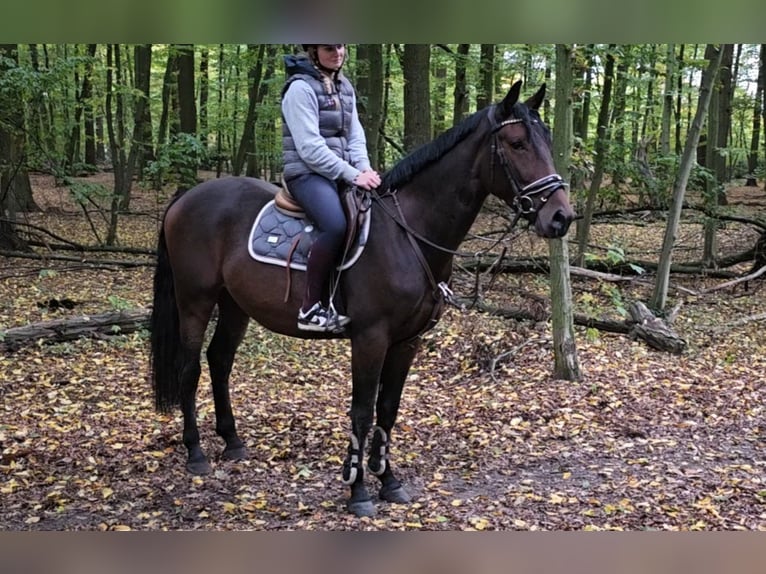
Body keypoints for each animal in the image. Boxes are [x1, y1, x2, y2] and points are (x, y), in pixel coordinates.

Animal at [149, 80, 575, 518]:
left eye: (546, 140)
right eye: (517, 143)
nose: (561, 217)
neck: (408, 232)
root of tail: (186, 197)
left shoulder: (407, 341)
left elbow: (388, 409)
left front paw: (389, 481)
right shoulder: (370, 338)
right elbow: (362, 410)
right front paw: (358, 491)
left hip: (236, 304)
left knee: (219, 361)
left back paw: (232, 442)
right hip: (195, 299)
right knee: (189, 368)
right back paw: (196, 453)